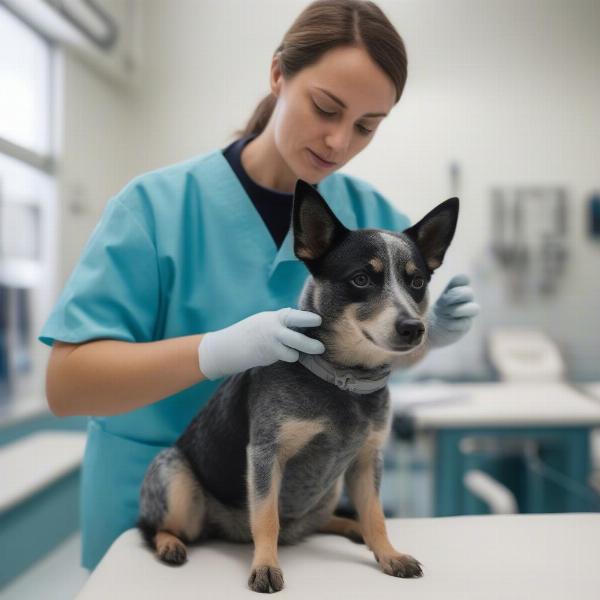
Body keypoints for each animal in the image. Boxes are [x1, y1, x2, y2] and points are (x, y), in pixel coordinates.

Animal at [138, 178, 460, 592]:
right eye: (361, 279)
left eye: (417, 282)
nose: (414, 328)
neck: (342, 380)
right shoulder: (266, 454)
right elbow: (266, 518)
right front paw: (265, 565)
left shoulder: (366, 458)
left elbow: (375, 516)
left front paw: (387, 553)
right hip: (176, 478)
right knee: (153, 528)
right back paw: (169, 543)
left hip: (330, 490)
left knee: (320, 522)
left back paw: (350, 527)